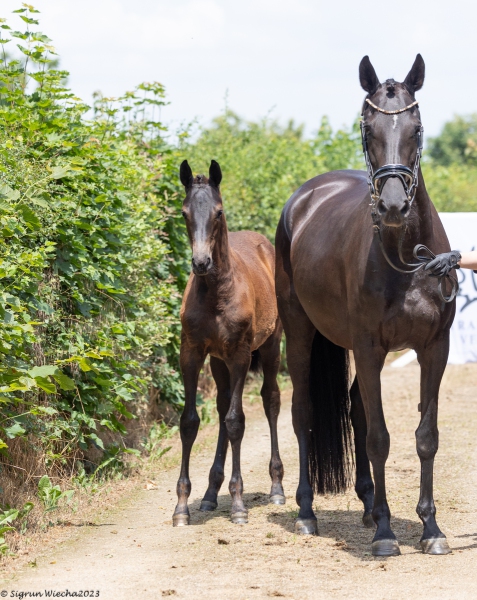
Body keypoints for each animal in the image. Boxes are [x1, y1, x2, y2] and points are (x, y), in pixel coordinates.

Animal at [172, 159, 282, 524]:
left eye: (218, 212)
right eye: (184, 212)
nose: (201, 262)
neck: (215, 293)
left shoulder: (239, 356)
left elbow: (236, 422)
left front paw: (237, 504)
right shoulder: (192, 353)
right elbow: (190, 422)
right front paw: (182, 506)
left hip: (271, 346)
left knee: (271, 400)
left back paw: (277, 487)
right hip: (217, 360)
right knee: (221, 407)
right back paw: (209, 494)